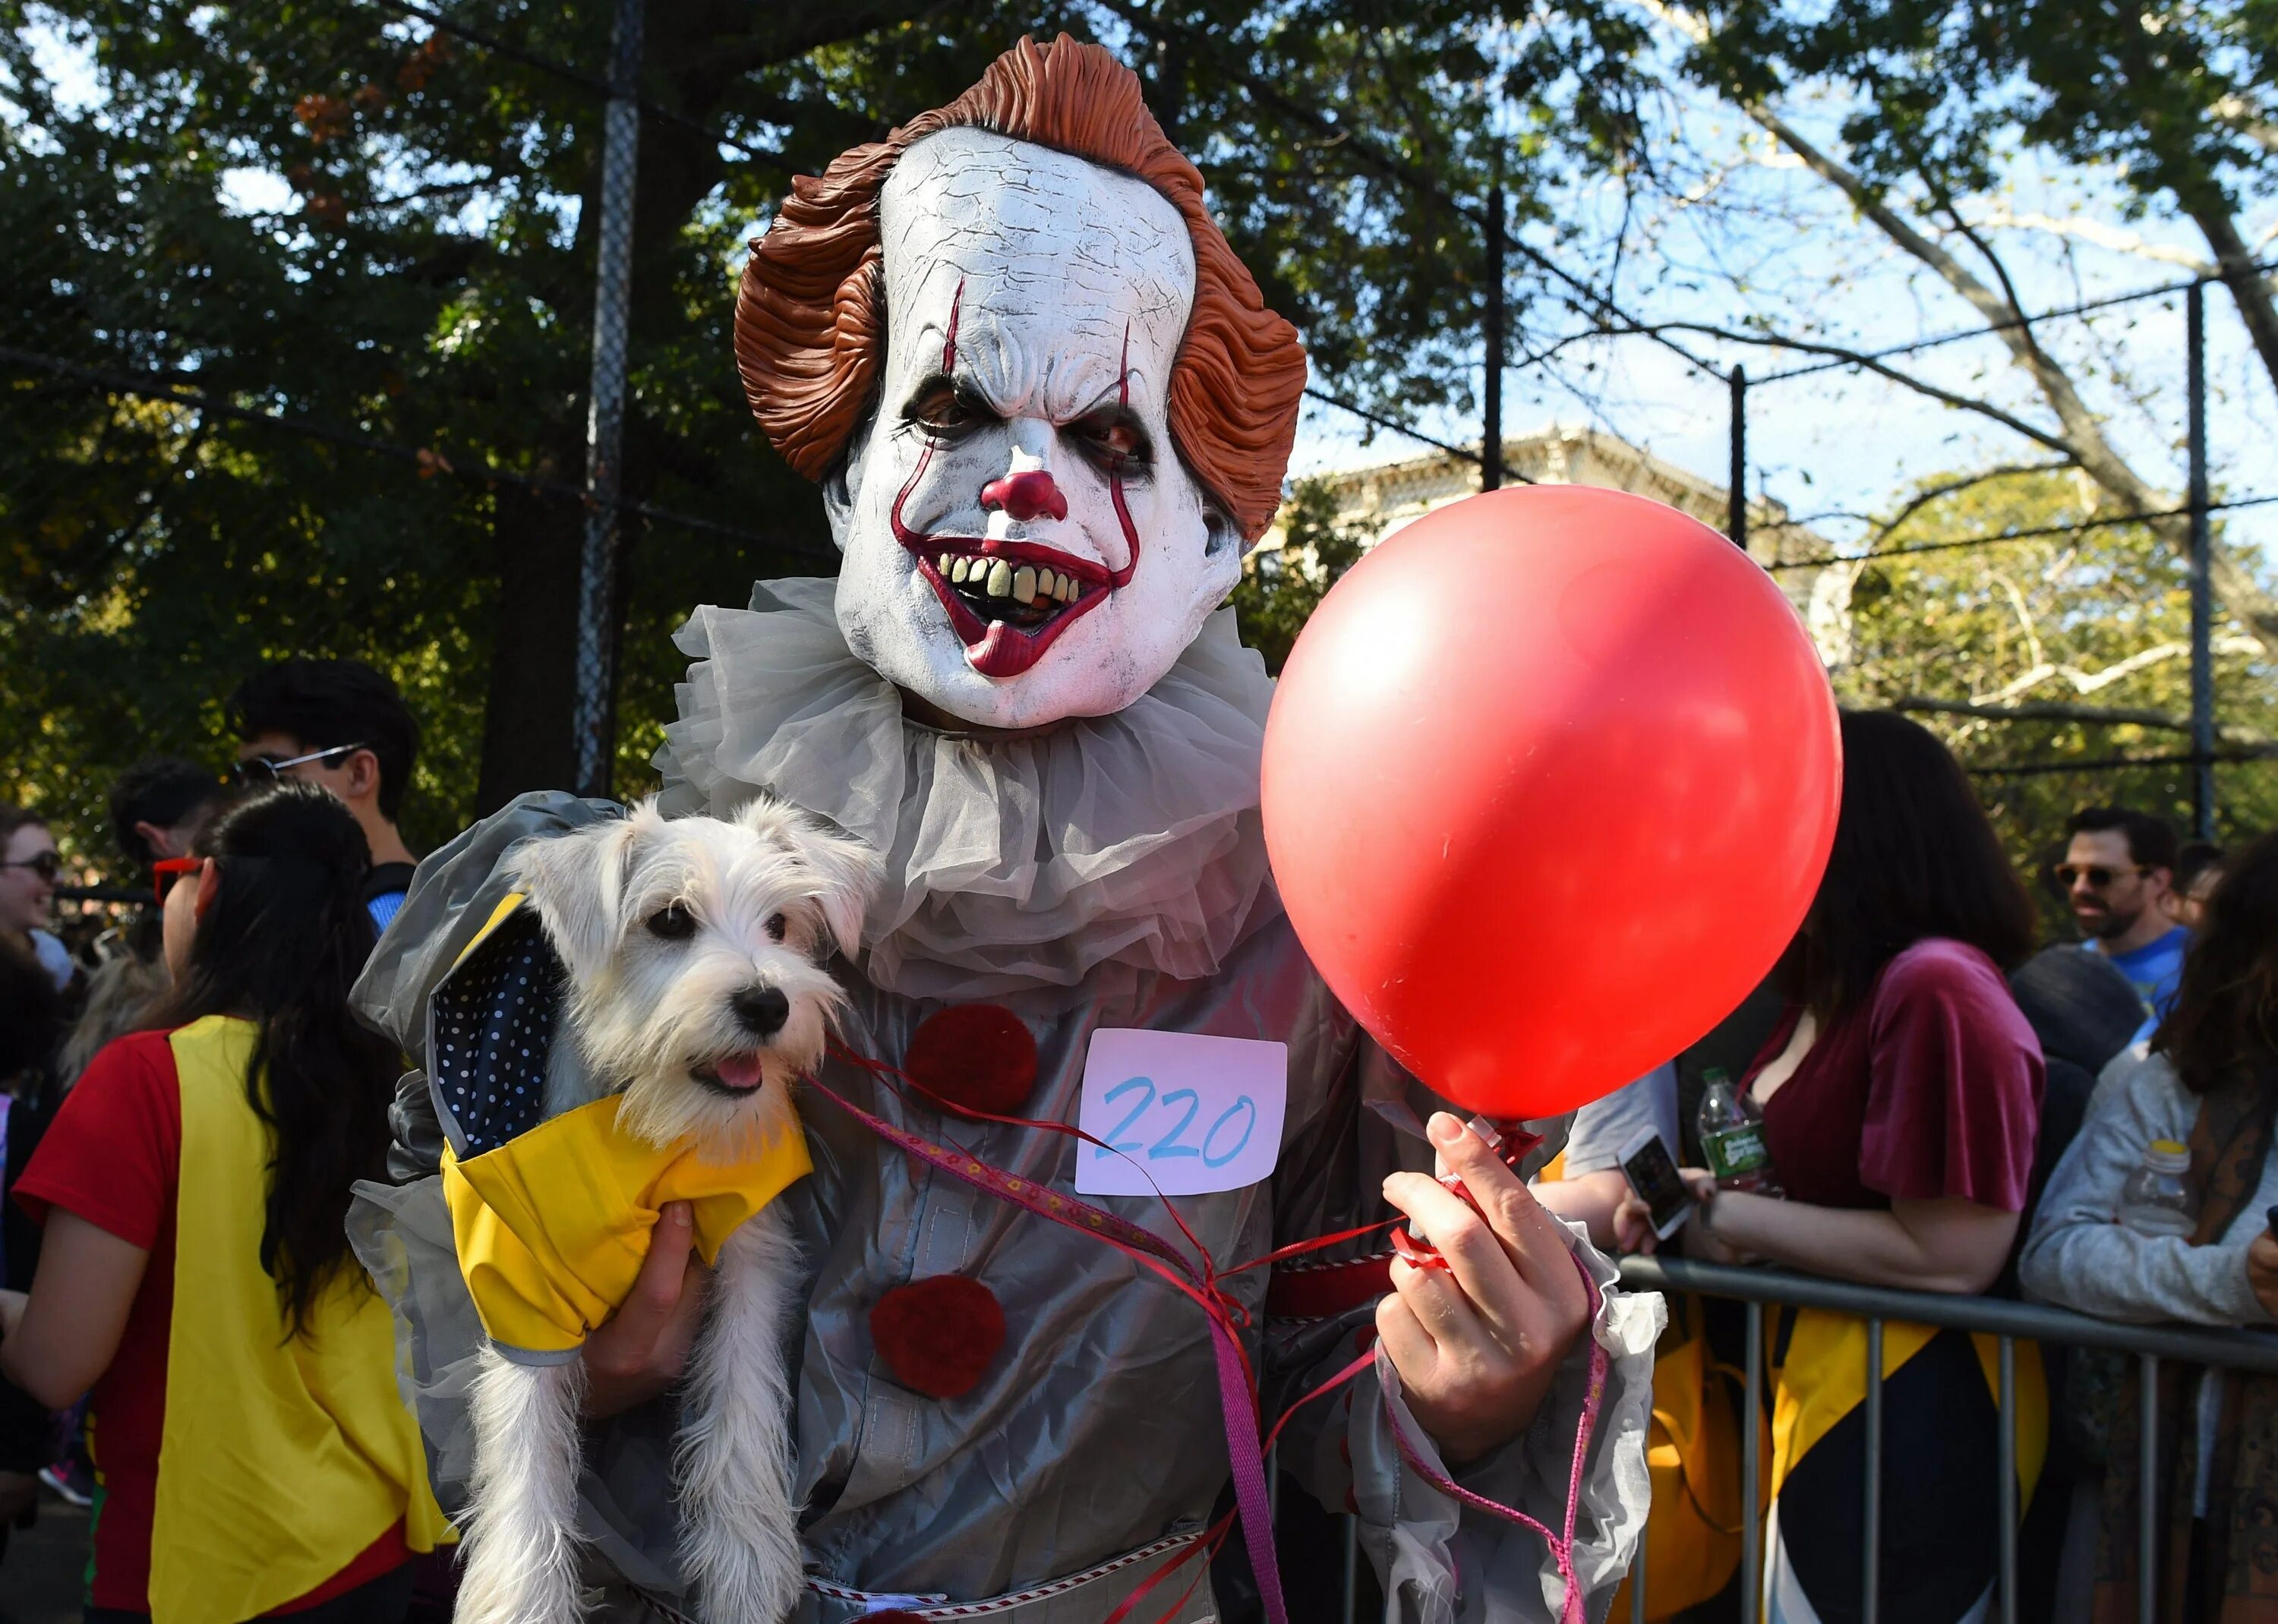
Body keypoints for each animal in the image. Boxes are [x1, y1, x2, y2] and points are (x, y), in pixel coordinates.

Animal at [451, 797, 870, 1622]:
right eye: (669, 919)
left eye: (780, 923)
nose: (767, 1001)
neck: (648, 1144)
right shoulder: (526, 1309)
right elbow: (525, 1465)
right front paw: (523, 1601)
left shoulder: (749, 1257)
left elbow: (741, 1399)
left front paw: (745, 1561)